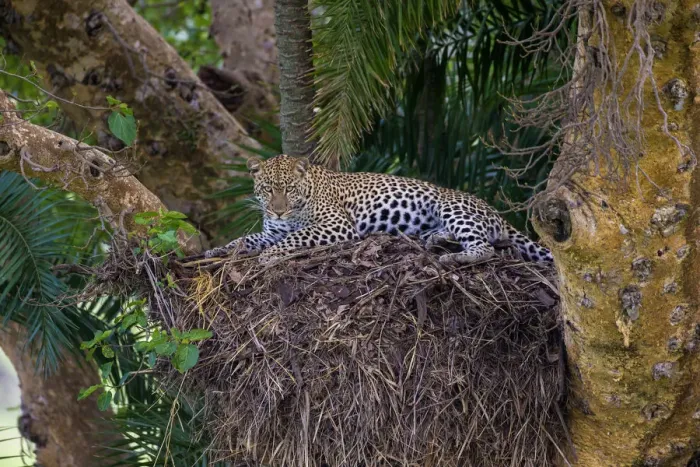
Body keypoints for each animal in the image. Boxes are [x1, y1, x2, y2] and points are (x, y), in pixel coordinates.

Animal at [204, 154, 553, 265]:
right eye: (267, 189)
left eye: (289, 189)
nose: (278, 211)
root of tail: (495, 212)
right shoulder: (270, 231)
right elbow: (247, 239)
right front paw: (219, 250)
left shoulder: (336, 224)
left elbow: (293, 238)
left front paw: (270, 256)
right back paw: (436, 239)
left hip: (451, 205)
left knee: (485, 247)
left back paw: (455, 257)